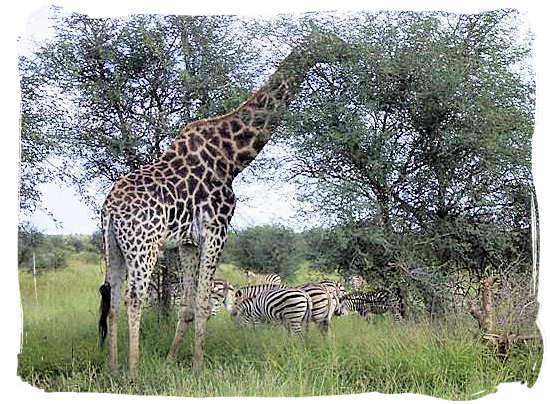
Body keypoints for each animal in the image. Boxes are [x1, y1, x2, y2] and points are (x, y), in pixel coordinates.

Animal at [98, 30, 350, 378]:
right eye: (331, 39)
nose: (349, 53)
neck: (231, 158)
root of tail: (110, 209)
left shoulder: (188, 242)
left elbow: (187, 305)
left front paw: (171, 360)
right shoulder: (217, 230)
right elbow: (204, 304)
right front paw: (199, 367)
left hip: (113, 246)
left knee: (113, 302)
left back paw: (112, 368)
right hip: (143, 244)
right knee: (135, 300)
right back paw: (133, 374)